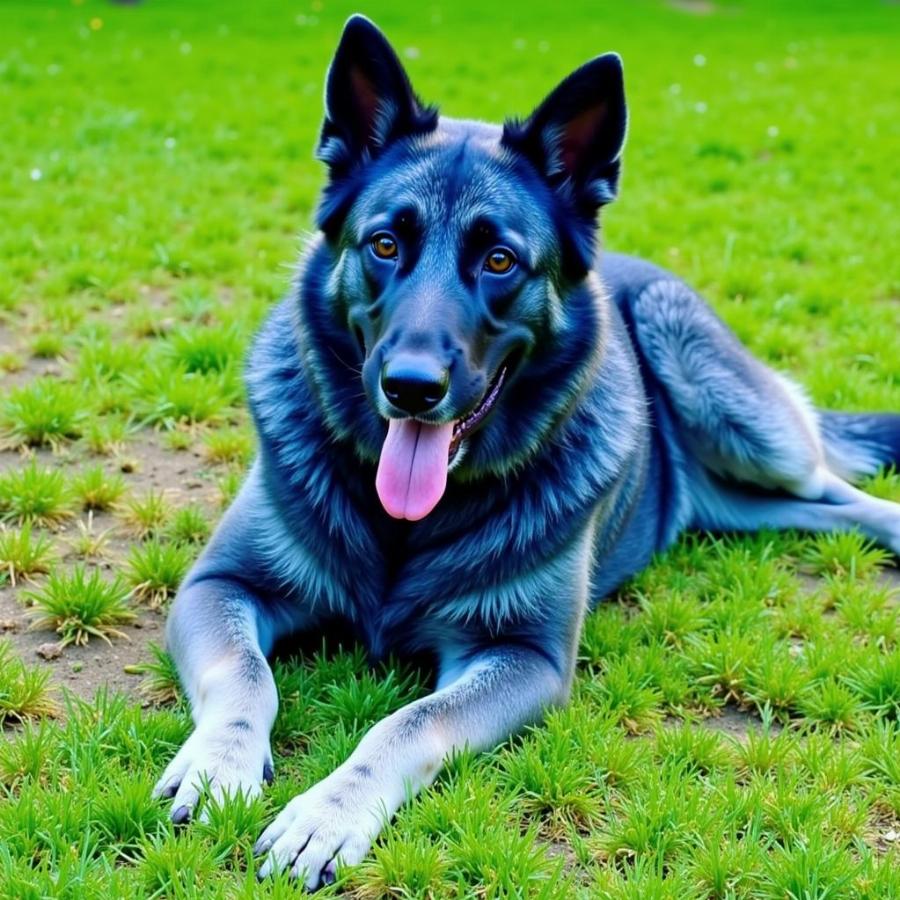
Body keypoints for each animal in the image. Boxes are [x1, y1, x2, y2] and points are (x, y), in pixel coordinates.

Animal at [155, 12, 900, 884]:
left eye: (500, 260)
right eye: (384, 246)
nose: (411, 387)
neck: (404, 525)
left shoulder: (524, 657)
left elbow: (408, 723)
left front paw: (328, 813)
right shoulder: (217, 585)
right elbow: (244, 675)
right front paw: (218, 763)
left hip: (736, 411)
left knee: (831, 485)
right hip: (743, 496)